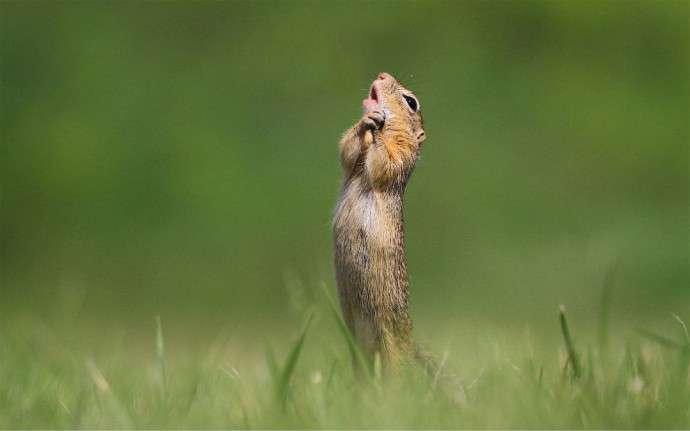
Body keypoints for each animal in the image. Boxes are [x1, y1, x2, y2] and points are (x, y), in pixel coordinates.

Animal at [332, 72, 424, 376]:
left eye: (411, 102)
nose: (382, 75)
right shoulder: (352, 161)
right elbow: (348, 152)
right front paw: (366, 122)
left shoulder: (401, 155)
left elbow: (386, 161)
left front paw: (378, 127)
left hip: (392, 349)